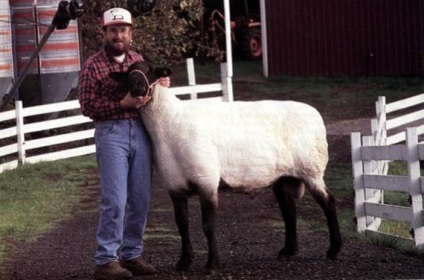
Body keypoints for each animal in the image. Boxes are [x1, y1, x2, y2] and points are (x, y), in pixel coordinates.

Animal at [109, 60, 342, 274]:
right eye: (129, 72)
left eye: (150, 69)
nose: (137, 87)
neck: (168, 124)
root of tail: (314, 113)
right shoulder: (175, 186)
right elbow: (182, 225)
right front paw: (184, 262)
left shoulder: (207, 180)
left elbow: (208, 225)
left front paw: (212, 264)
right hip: (281, 176)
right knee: (289, 210)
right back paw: (288, 251)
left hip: (311, 170)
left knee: (328, 203)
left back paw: (334, 249)